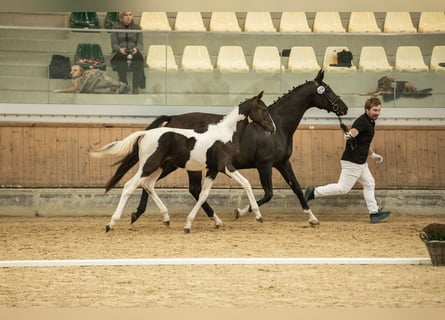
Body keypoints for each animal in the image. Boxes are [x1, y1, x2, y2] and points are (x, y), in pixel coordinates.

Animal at [90, 91, 274, 234]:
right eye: (263, 109)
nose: (273, 129)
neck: (226, 135)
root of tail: (145, 134)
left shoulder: (212, 170)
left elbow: (203, 195)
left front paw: (190, 224)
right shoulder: (226, 167)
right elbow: (246, 183)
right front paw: (258, 216)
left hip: (161, 166)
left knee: (148, 185)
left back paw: (166, 218)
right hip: (149, 165)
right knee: (130, 186)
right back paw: (111, 224)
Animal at [106, 69, 346, 226]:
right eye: (328, 90)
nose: (343, 108)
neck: (280, 125)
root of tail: (173, 119)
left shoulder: (282, 163)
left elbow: (296, 187)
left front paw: (312, 217)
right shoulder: (265, 165)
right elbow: (268, 194)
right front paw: (241, 212)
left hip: (172, 164)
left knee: (152, 183)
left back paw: (142, 214)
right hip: (179, 165)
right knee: (178, 187)